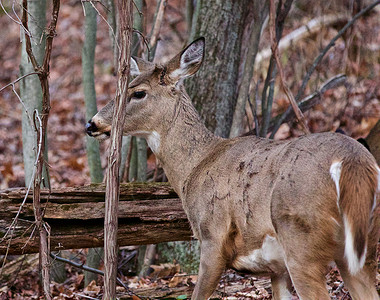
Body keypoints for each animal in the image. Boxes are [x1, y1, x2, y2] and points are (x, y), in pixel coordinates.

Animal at [86, 38, 380, 300]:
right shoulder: (276, 269)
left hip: (301, 242)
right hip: (363, 247)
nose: (92, 124)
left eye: (138, 93)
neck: (196, 166)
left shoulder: (213, 238)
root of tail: (352, 162)